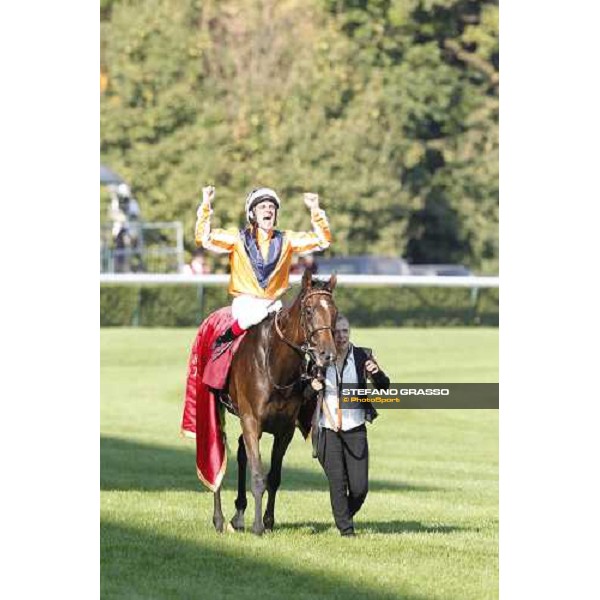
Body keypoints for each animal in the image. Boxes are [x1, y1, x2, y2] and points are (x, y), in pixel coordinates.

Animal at [213, 270, 338, 536]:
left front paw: (268, 521)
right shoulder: (252, 421)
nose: (328, 355)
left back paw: (238, 515)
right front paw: (258, 526)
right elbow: (258, 475)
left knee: (241, 450)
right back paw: (218, 519)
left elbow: (274, 476)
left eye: (334, 311)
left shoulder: (284, 429)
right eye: (309, 310)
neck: (276, 366)